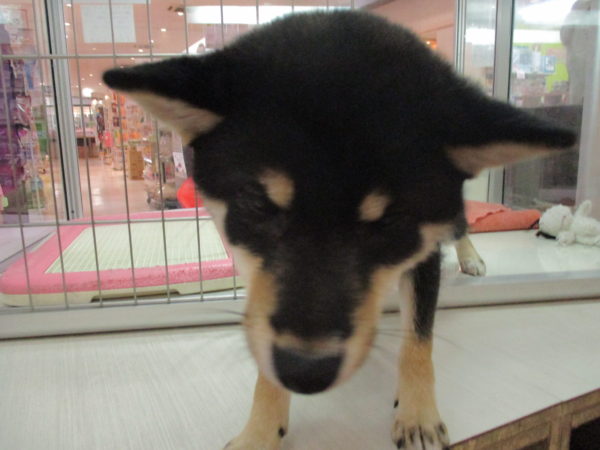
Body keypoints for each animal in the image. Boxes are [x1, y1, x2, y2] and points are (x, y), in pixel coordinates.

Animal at [104, 11, 575, 449]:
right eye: (258, 205)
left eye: (390, 223)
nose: (305, 372)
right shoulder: (258, 279)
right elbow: (264, 340)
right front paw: (261, 429)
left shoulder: (422, 252)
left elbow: (418, 339)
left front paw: (418, 414)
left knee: (460, 224)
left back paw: (472, 257)